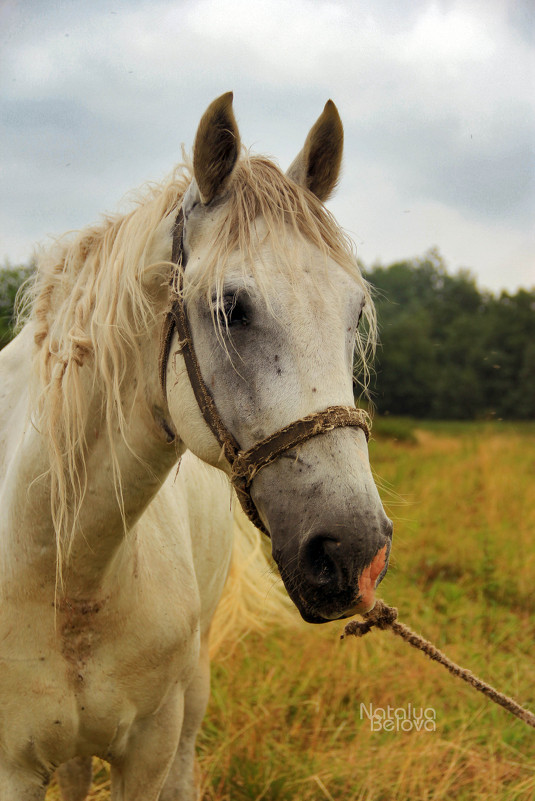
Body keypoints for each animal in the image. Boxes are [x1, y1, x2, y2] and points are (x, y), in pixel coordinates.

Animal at [1, 90, 394, 796]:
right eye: (229, 307)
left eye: (354, 312)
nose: (357, 555)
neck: (66, 574)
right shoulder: (12, 766)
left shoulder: (149, 750)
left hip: (191, 696)